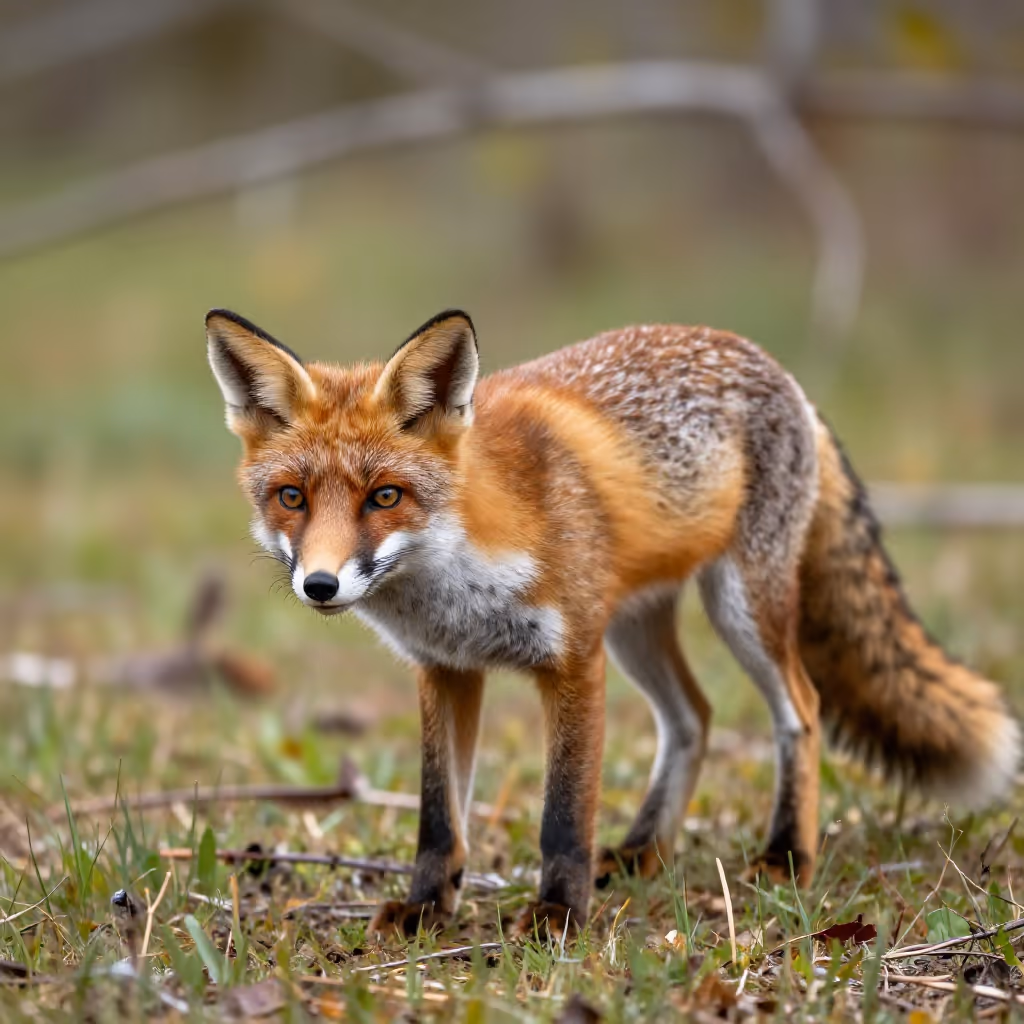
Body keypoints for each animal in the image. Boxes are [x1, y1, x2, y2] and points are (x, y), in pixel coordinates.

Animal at [207, 306, 1019, 938]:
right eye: (291, 497)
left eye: (384, 497)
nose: (319, 584)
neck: (458, 579)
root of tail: (772, 364)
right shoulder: (447, 670)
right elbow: (440, 818)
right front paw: (426, 910)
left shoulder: (572, 662)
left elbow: (563, 816)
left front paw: (558, 918)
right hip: (636, 629)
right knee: (694, 717)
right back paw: (641, 852)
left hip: (739, 608)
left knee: (802, 709)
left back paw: (786, 854)